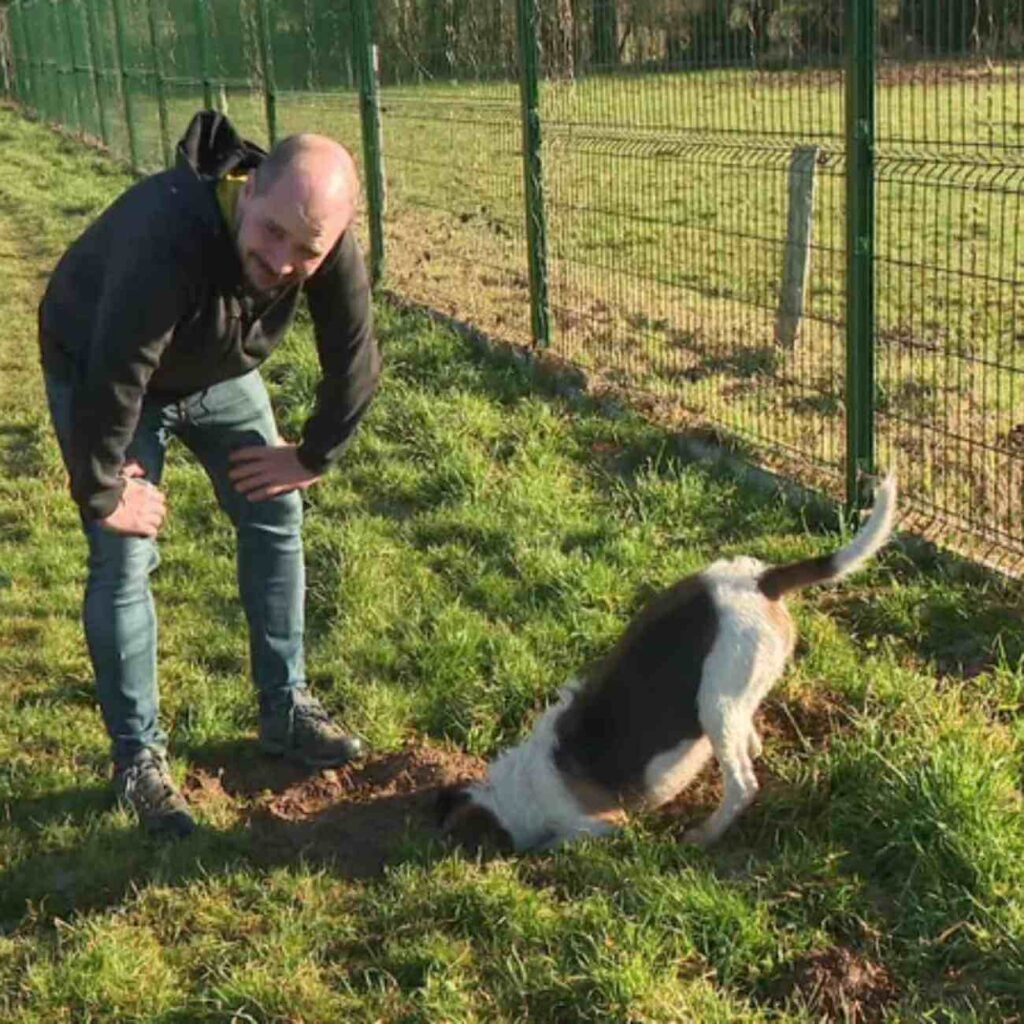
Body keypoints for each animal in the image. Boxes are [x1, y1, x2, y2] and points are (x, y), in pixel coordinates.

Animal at [440, 475, 897, 851]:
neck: (521, 789)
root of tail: (759, 580)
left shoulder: (598, 825)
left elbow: (560, 842)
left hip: (716, 705)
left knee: (743, 785)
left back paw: (705, 835)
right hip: (736, 691)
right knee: (750, 738)